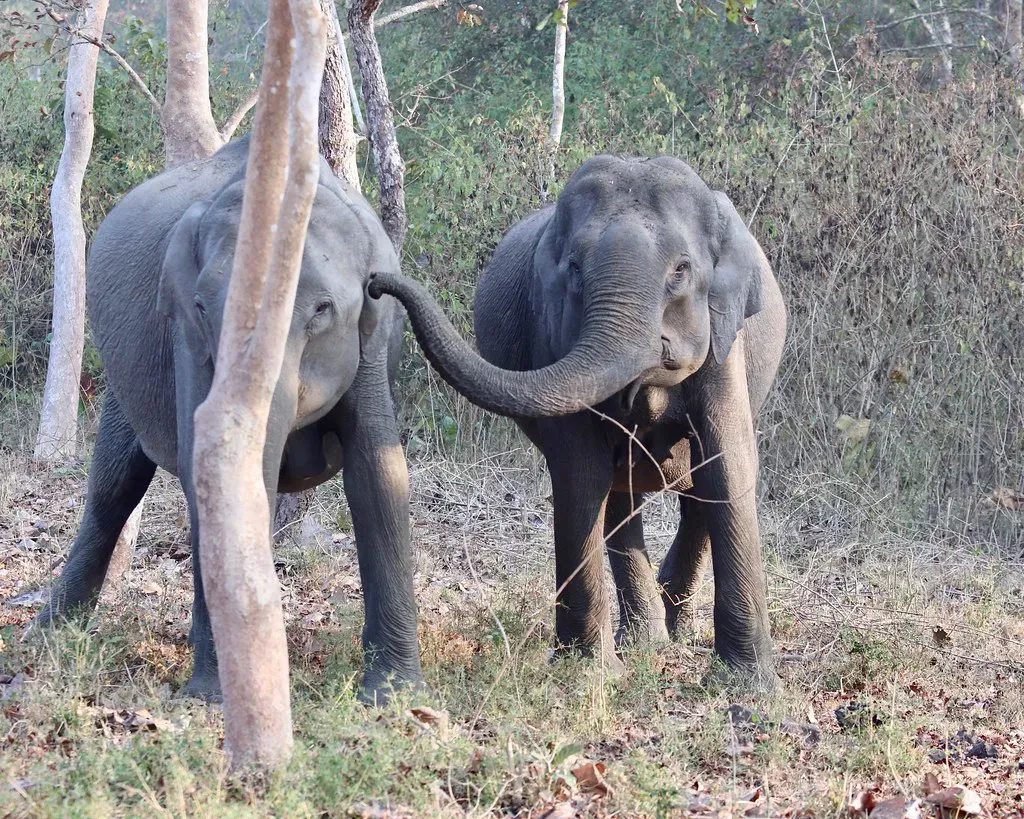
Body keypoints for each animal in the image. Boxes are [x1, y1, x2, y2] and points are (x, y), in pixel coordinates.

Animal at [369, 155, 787, 684]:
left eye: (682, 269)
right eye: (574, 268)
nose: (375, 284)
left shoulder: (725, 344)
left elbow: (726, 463)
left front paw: (748, 685)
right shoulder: (550, 335)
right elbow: (580, 470)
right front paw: (590, 673)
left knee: (689, 493)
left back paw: (672, 631)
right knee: (620, 494)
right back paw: (646, 642)